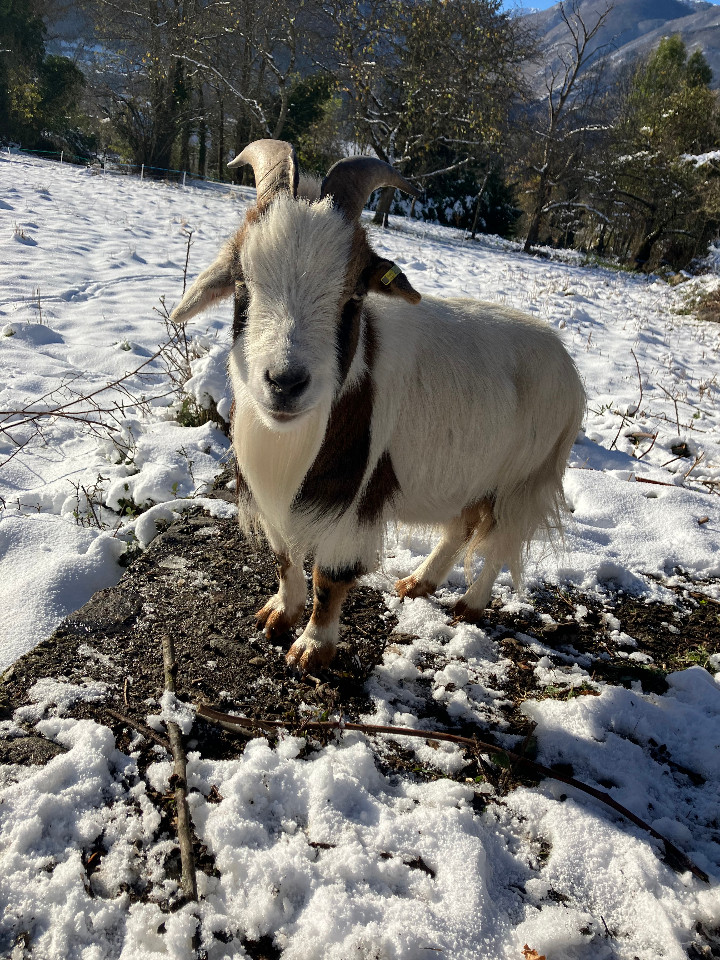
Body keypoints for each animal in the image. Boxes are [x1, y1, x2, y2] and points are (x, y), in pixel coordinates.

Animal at [171, 139, 586, 673]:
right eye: (242, 286)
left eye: (352, 297)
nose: (285, 382)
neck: (293, 440)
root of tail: (568, 365)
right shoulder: (274, 494)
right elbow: (284, 557)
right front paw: (279, 614)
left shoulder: (357, 495)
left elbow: (330, 577)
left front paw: (313, 648)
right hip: (470, 472)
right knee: (460, 526)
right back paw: (418, 583)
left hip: (523, 478)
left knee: (500, 540)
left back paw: (468, 606)